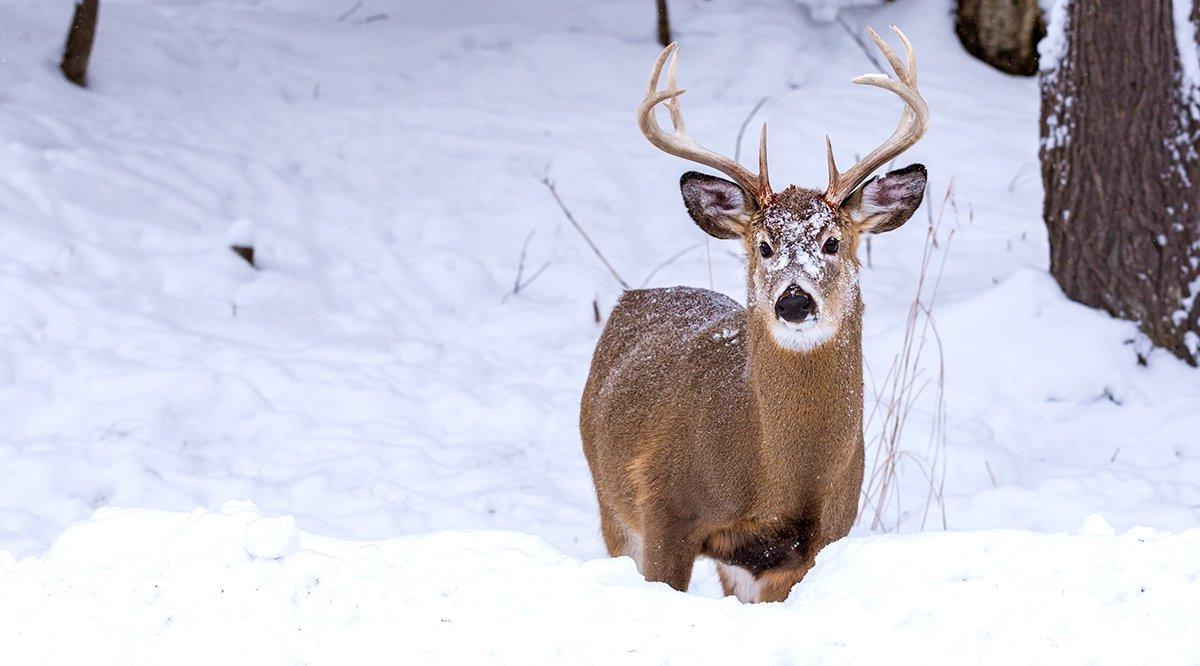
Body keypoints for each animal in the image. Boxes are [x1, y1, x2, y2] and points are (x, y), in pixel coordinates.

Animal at [578, 27, 926, 604]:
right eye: (763, 246)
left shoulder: (815, 540)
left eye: (832, 242)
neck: (776, 479)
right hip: (609, 499)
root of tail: (638, 297)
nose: (794, 301)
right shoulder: (664, 505)